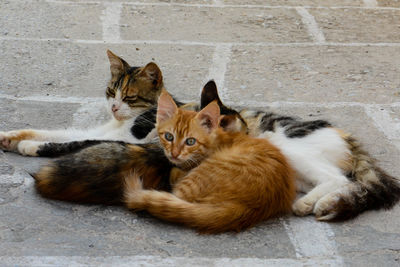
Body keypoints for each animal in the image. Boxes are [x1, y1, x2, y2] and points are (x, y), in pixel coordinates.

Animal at [0, 50, 170, 157]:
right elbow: (61, 135)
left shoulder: (132, 139)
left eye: (130, 97)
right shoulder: (101, 131)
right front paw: (8, 137)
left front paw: (28, 145)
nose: (113, 107)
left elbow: (80, 142)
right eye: (111, 91)